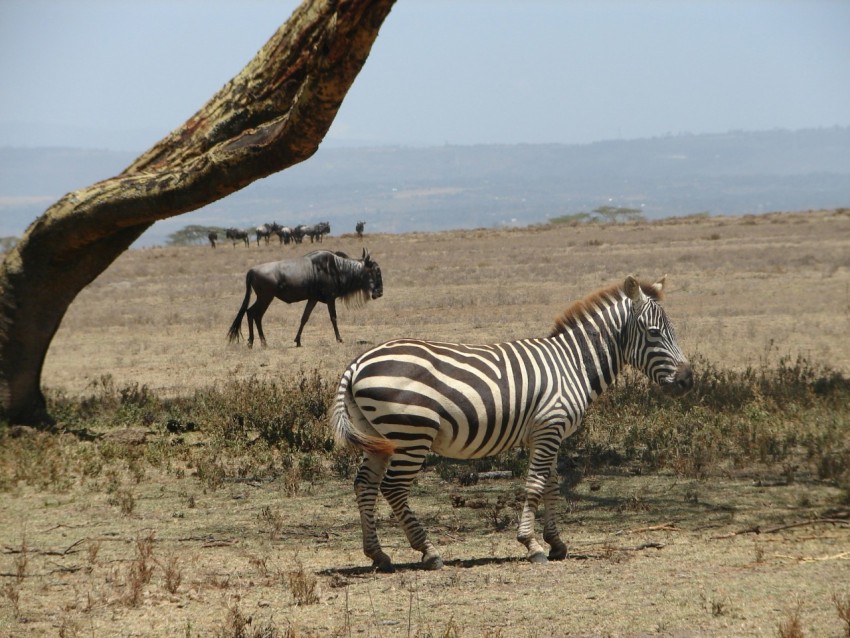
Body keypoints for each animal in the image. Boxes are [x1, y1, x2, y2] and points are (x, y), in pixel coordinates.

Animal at [330, 278, 688, 572]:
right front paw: (532, 545)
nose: (689, 380)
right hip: (411, 434)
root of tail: (357, 363)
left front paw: (556, 543)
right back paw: (429, 552)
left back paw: (378, 555)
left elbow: (551, 486)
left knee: (364, 484)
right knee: (393, 488)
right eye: (655, 333)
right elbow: (535, 485)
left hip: (378, 436)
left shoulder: (547, 434)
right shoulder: (549, 426)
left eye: (671, 330)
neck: (572, 364)